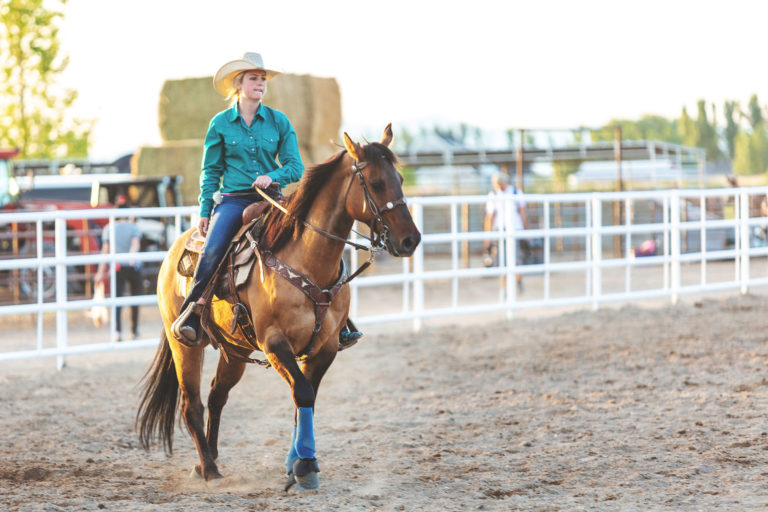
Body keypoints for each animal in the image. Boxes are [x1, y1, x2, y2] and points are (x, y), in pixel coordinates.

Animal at [136, 124, 420, 490]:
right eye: (376, 183)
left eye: (399, 178)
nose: (411, 240)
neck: (307, 262)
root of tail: (174, 250)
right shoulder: (274, 344)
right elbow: (303, 393)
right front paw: (305, 467)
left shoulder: (325, 347)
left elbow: (305, 399)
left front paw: (297, 461)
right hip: (184, 344)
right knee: (192, 404)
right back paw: (210, 470)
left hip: (235, 351)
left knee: (216, 396)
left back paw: (208, 460)